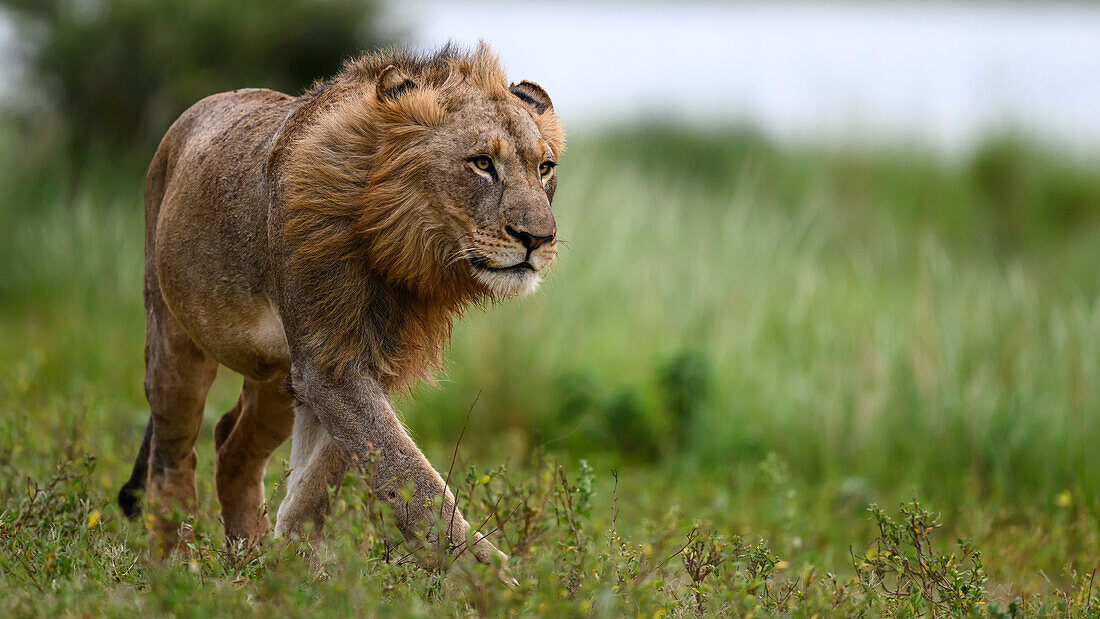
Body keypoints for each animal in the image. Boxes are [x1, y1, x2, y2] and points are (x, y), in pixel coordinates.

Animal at [114, 44, 563, 584]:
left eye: (544, 168)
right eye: (481, 163)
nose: (538, 239)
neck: (402, 250)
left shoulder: (361, 362)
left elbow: (325, 476)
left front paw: (297, 566)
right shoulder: (329, 366)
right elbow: (404, 471)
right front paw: (489, 580)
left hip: (278, 376)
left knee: (230, 444)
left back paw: (248, 556)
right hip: (173, 336)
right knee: (172, 456)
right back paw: (175, 567)